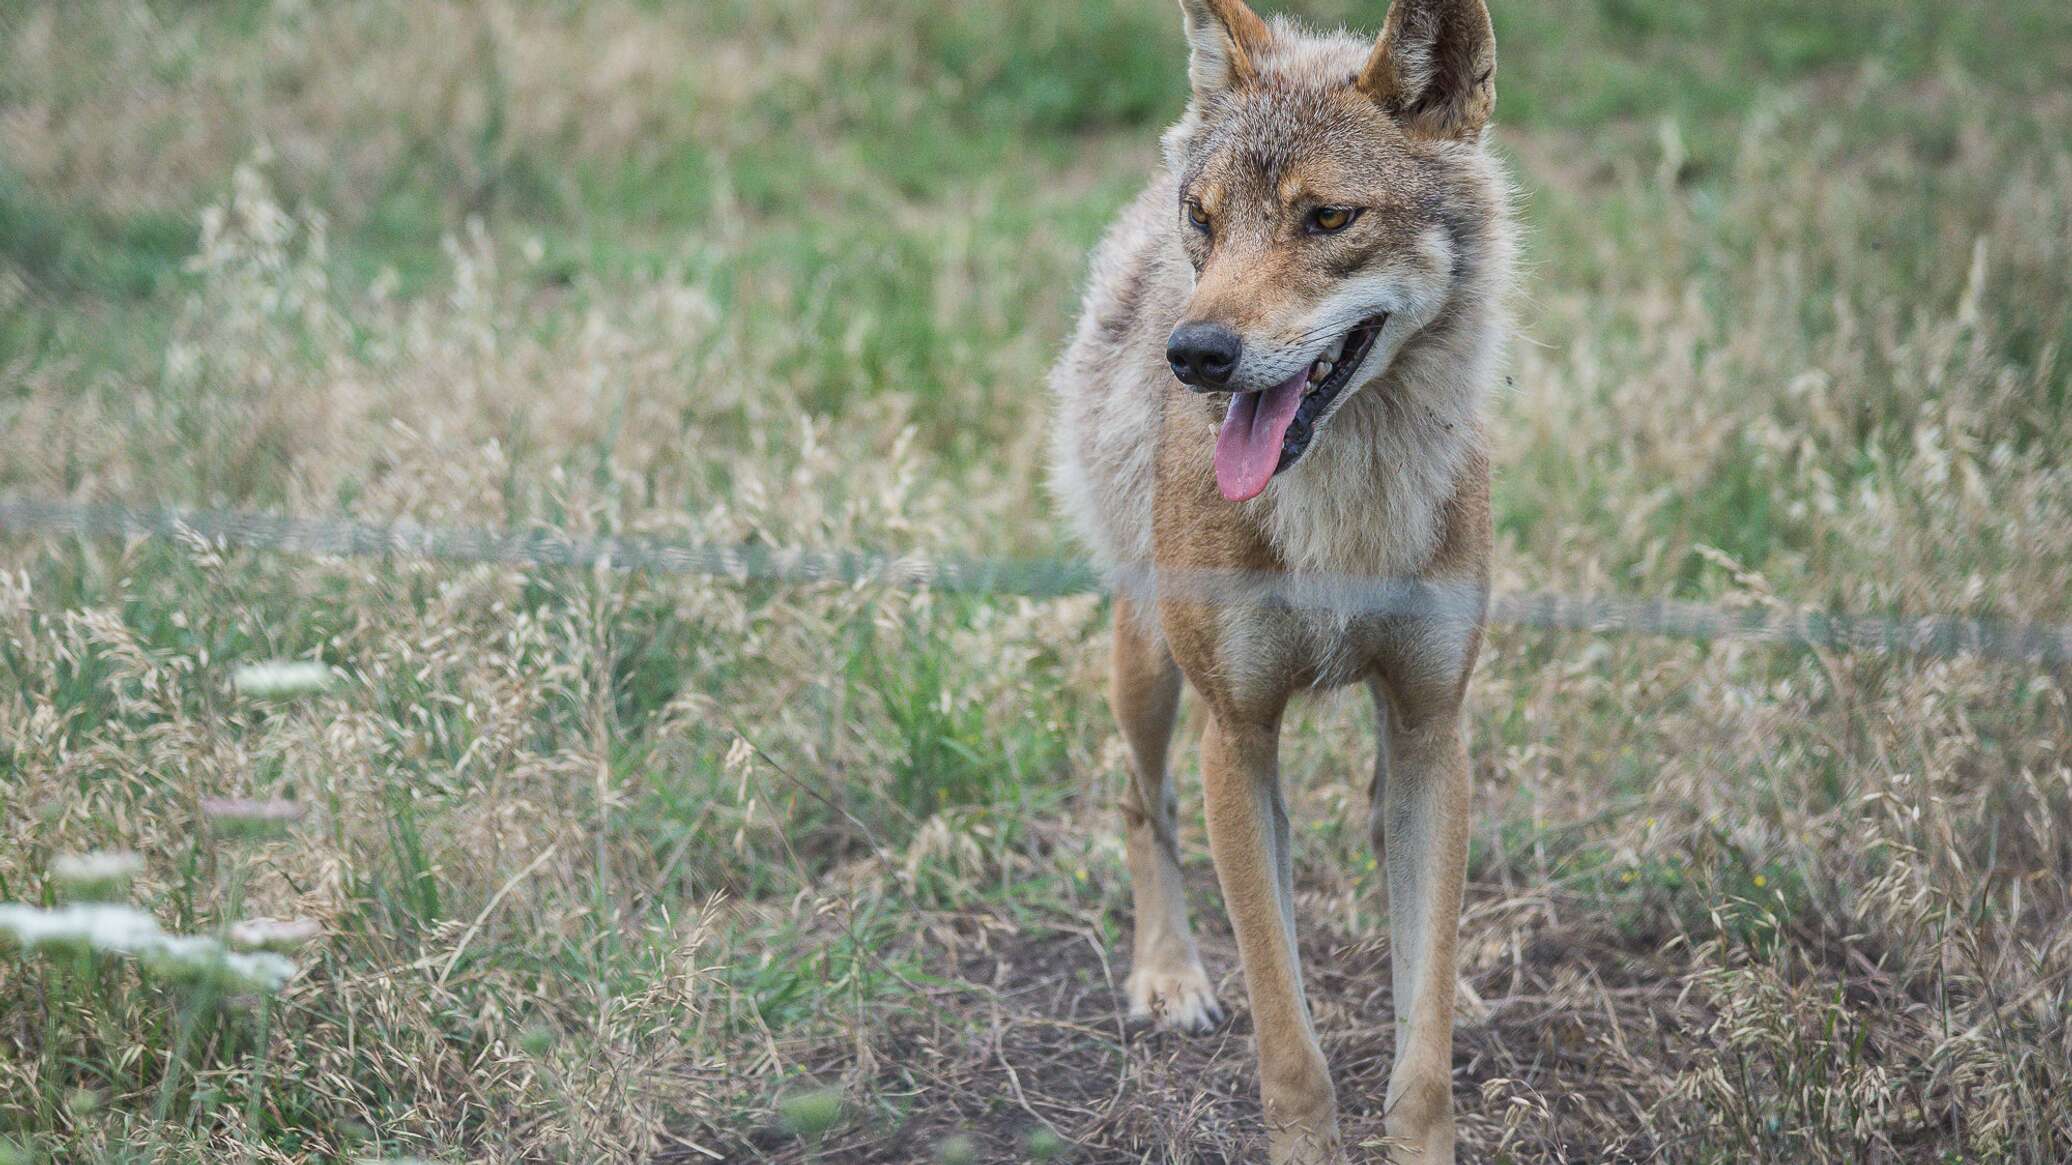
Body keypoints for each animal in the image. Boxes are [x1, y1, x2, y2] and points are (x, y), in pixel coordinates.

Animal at [1052, 0, 1508, 1152]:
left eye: (1326, 219)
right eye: (1207, 221)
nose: (1195, 355)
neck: (1345, 518)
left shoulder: (1432, 722)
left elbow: (1420, 1055)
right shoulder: (1237, 737)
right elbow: (1289, 1044)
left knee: (1389, 850)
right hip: (1146, 666)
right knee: (1140, 802)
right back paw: (1167, 975)